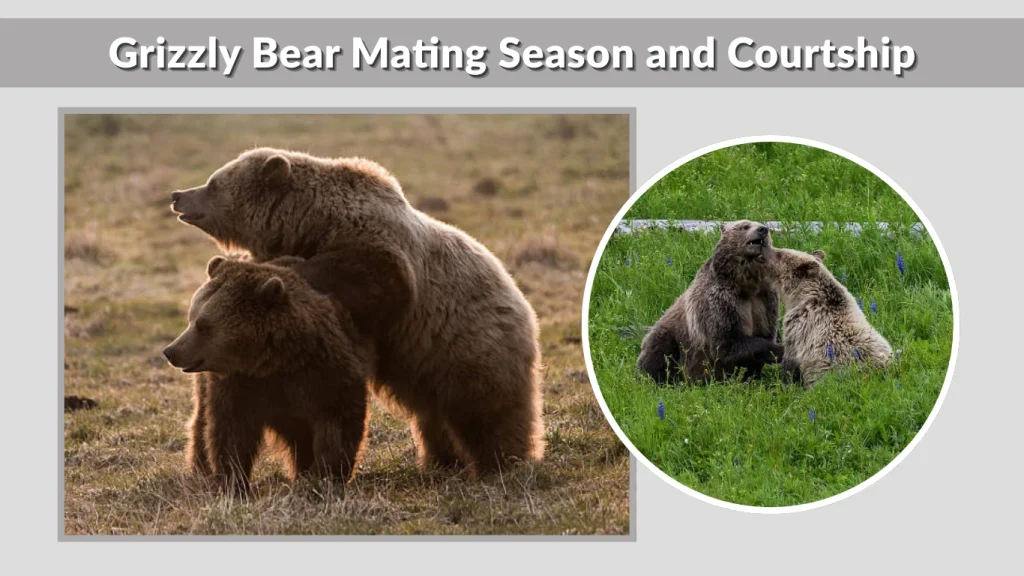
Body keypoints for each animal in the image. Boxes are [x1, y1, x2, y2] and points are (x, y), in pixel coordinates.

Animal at [162, 255, 372, 493]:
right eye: (192, 316)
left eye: (203, 325)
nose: (171, 351)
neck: (272, 362)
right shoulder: (239, 385)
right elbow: (231, 431)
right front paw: (234, 482)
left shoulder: (322, 372)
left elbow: (337, 421)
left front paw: (324, 475)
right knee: (202, 422)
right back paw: (201, 470)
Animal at [637, 219, 783, 384]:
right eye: (744, 226)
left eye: (763, 225)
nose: (763, 229)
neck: (745, 284)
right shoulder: (718, 300)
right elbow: (727, 341)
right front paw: (779, 350)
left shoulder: (764, 299)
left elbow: (764, 332)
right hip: (671, 336)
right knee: (659, 352)